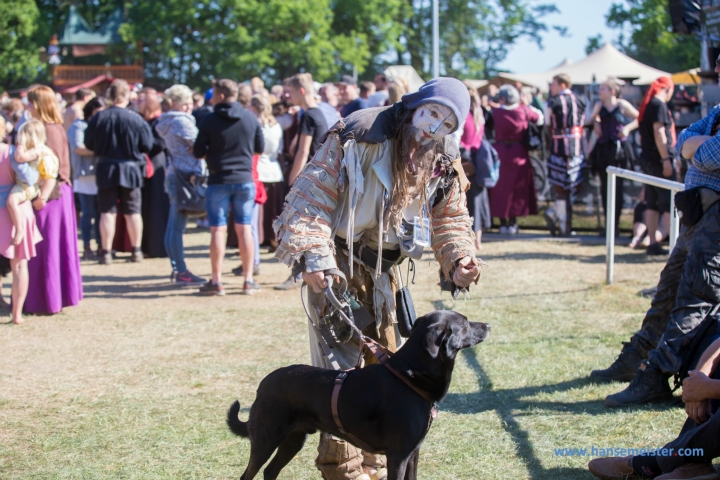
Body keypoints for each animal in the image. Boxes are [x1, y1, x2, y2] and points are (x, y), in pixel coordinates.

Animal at [225, 312, 490, 480]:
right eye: (465, 323)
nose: (488, 326)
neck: (411, 375)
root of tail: (264, 383)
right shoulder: (398, 455)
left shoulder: (413, 452)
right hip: (266, 439)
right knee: (248, 474)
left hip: (293, 439)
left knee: (270, 471)